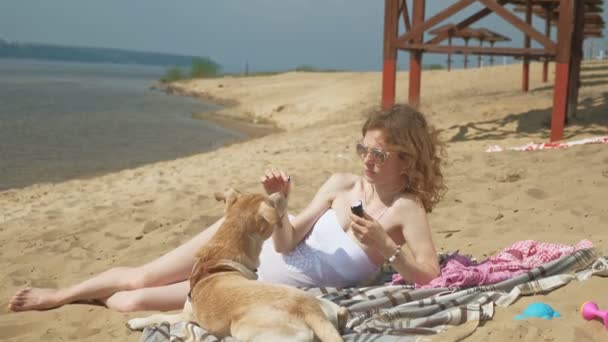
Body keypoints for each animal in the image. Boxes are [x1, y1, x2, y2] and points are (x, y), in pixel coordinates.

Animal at [127, 190, 346, 342]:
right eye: (272, 201)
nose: (282, 190)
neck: (217, 258)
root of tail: (309, 309)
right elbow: (158, 314)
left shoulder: (187, 316)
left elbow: (160, 315)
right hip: (327, 307)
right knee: (343, 314)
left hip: (244, 330)